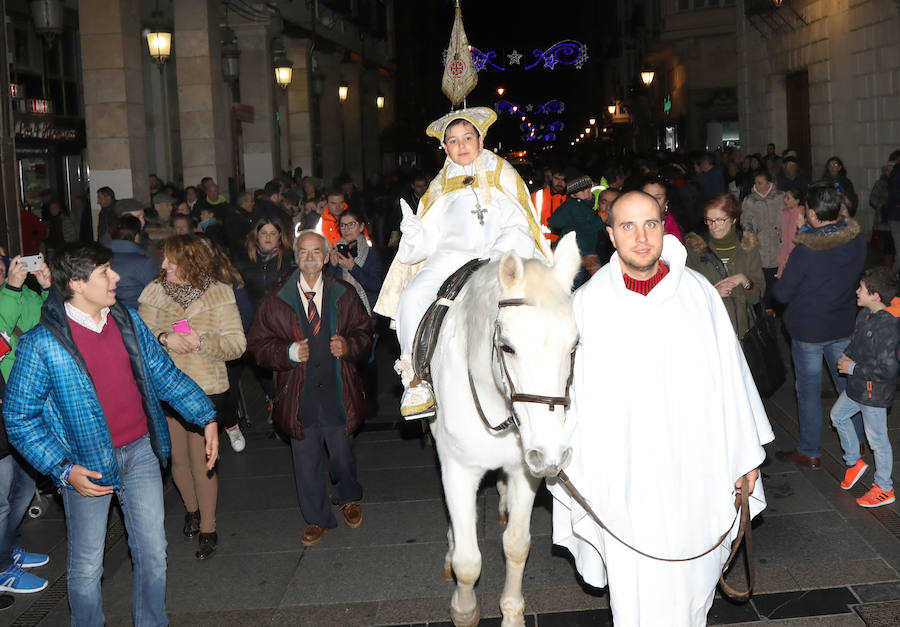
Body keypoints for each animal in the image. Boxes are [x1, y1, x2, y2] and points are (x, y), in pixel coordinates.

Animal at [428, 233, 584, 624]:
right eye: (507, 347)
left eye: (574, 345)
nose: (552, 454)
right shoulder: (458, 469)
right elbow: (467, 562)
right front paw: (465, 610)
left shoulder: (524, 469)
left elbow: (516, 545)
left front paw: (511, 612)